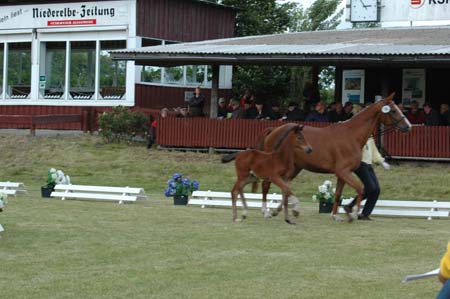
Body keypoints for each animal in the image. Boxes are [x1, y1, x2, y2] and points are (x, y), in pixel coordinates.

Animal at [260, 92, 412, 221]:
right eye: (393, 110)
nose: (408, 126)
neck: (351, 136)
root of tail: (273, 130)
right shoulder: (343, 171)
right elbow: (360, 188)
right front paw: (353, 213)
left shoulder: (342, 174)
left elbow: (338, 193)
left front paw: (335, 215)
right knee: (267, 184)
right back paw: (266, 212)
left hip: (296, 167)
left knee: (285, 185)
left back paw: (281, 210)